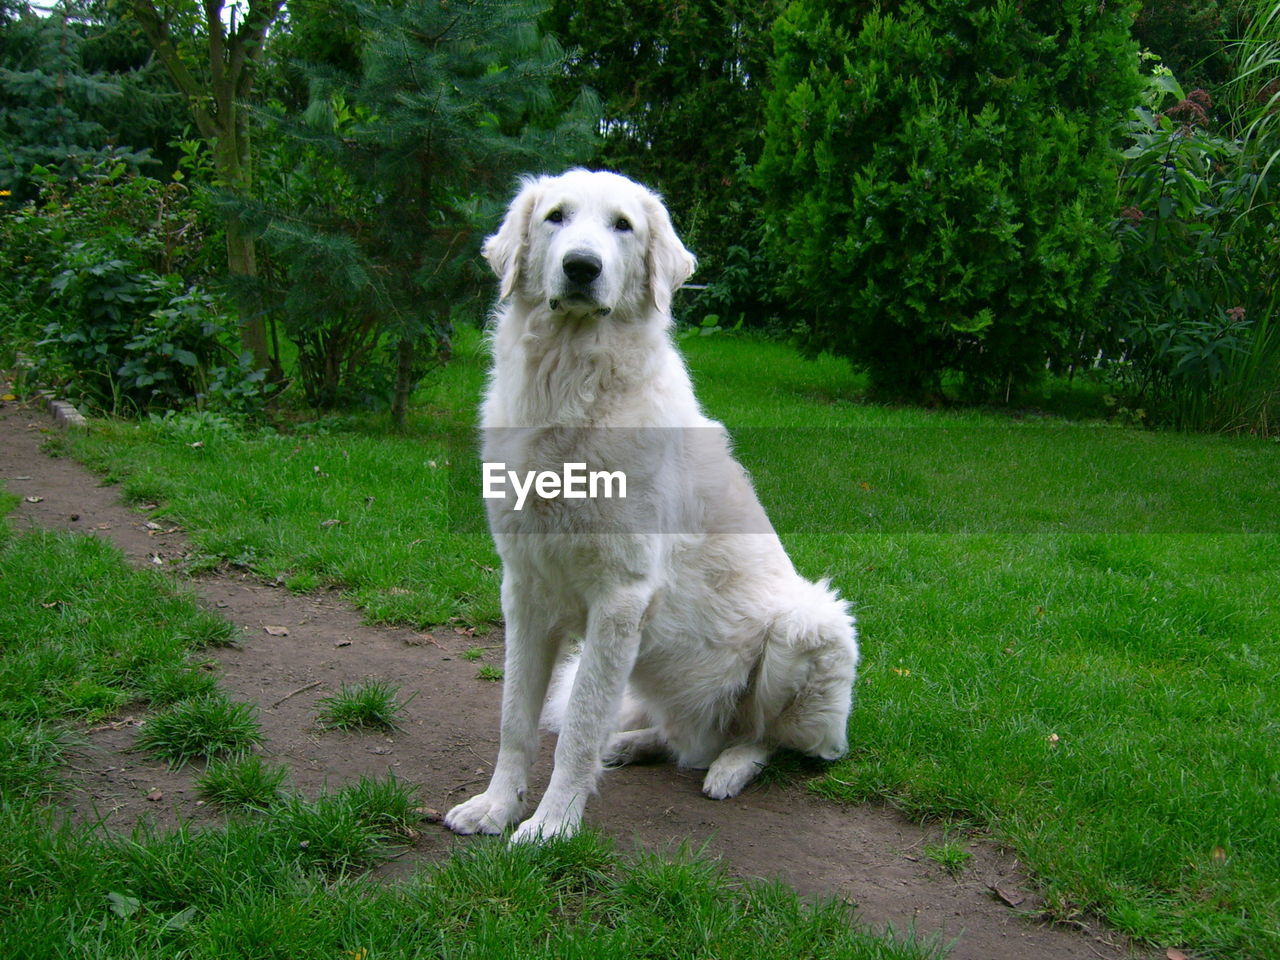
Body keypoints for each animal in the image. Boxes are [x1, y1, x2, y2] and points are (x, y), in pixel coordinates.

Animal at [442, 171, 860, 839]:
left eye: (622, 226)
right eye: (557, 217)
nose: (581, 267)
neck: (571, 387)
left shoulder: (620, 598)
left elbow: (578, 728)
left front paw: (551, 827)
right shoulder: (525, 590)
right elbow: (516, 720)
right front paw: (496, 806)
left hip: (809, 624)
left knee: (765, 739)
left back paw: (729, 768)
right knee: (674, 739)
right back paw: (633, 745)